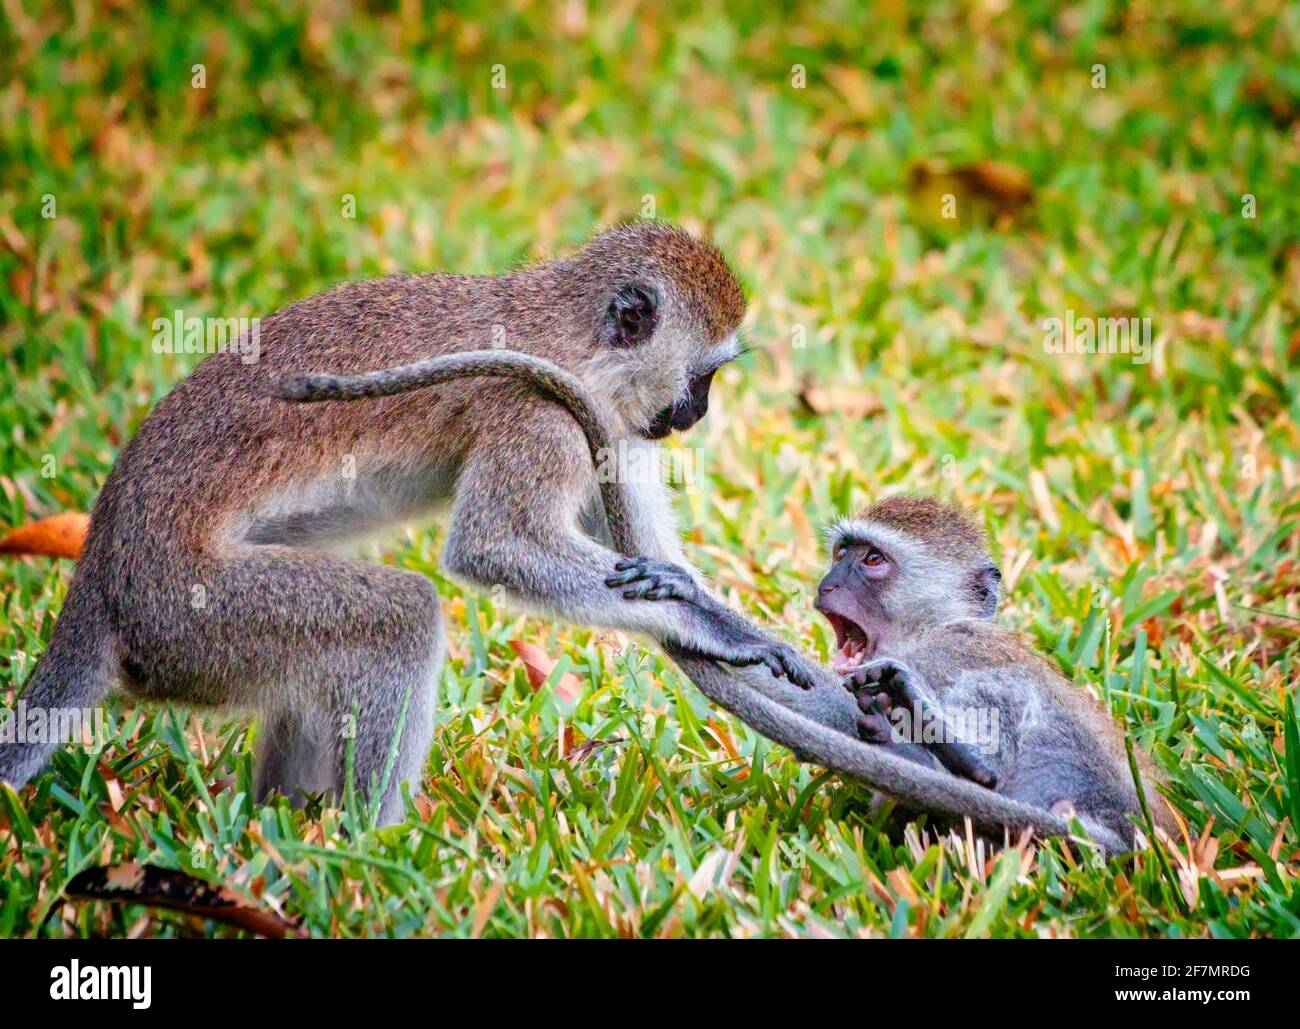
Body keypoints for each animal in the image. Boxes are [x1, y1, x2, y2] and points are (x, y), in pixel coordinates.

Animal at [0, 222, 815, 826]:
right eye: (703, 377)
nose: (696, 414)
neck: (575, 340)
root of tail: (101, 566)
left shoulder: (610, 427)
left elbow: (637, 548)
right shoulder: (540, 414)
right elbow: (495, 545)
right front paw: (717, 631)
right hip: (188, 612)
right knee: (398, 617)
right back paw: (375, 841)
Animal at [607, 497, 1177, 855]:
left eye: (874, 560)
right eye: (842, 553)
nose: (828, 583)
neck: (935, 625)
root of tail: (1132, 835)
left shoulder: (947, 653)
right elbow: (819, 694)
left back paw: (966, 764)